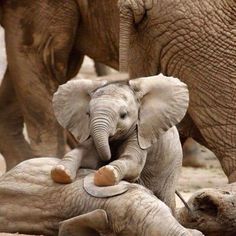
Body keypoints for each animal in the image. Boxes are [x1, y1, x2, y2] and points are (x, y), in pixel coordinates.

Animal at [52, 74, 189, 210]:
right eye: (88, 114)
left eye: (123, 115)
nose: (107, 159)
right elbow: (85, 154)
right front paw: (60, 172)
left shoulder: (140, 133)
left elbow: (133, 162)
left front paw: (106, 173)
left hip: (173, 167)